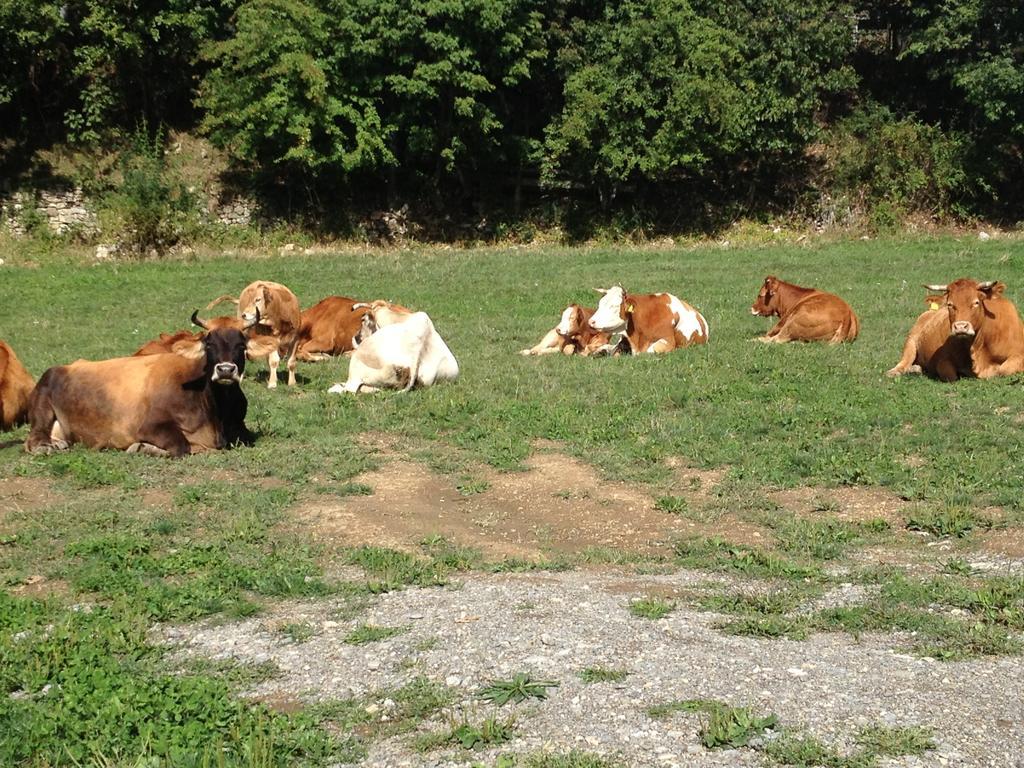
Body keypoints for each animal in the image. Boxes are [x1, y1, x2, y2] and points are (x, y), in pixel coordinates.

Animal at [25, 325, 253, 456]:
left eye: (241, 346)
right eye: (209, 345)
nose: (225, 370)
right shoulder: (149, 426)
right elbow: (183, 447)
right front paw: (142, 447)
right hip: (43, 402)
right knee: (31, 441)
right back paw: (44, 447)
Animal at [888, 280, 1024, 382]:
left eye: (976, 302)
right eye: (950, 304)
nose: (960, 327)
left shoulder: (1019, 355)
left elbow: (1003, 370)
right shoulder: (942, 359)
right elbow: (950, 375)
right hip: (911, 340)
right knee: (904, 361)